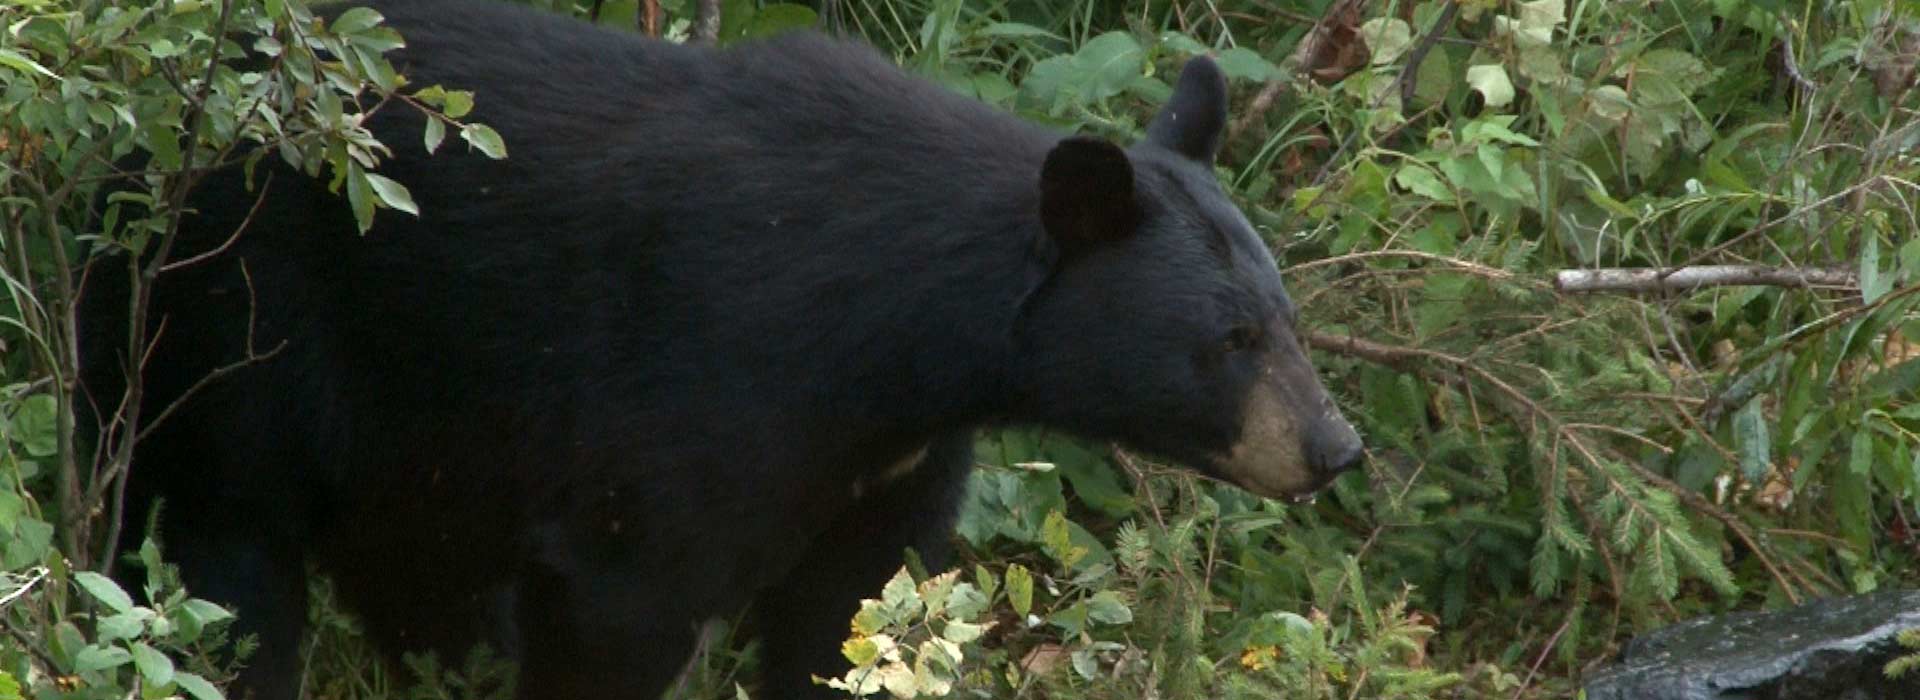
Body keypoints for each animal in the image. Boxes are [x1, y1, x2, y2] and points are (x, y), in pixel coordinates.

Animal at [77, 1, 1364, 698]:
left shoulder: (893, 456)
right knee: (224, 544)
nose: (1334, 448)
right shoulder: (697, 385)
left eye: (1286, 318)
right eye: (1230, 338)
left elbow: (845, 607)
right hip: (236, 313)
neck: (892, 333)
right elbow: (622, 590)